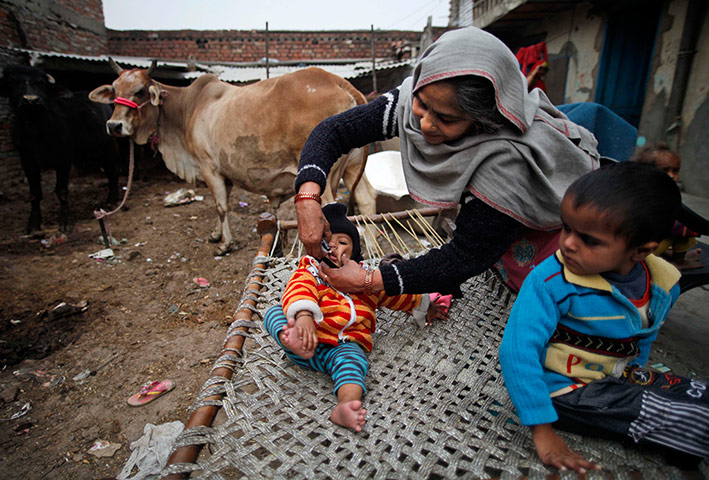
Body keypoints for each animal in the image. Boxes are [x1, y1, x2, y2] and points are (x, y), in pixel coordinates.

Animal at [0, 65, 124, 234]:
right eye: (11, 82)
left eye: (42, 83)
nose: (30, 100)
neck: (36, 130)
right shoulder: (27, 160)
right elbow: (34, 193)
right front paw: (33, 225)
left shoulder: (63, 159)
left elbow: (61, 190)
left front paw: (65, 223)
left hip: (107, 149)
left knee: (113, 171)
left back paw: (112, 199)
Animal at [89, 61, 376, 255]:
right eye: (115, 88)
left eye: (139, 91)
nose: (114, 125)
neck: (188, 109)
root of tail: (342, 83)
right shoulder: (223, 173)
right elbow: (220, 206)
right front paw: (216, 234)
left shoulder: (208, 167)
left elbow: (220, 206)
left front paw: (225, 244)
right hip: (352, 169)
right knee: (366, 201)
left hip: (323, 176)